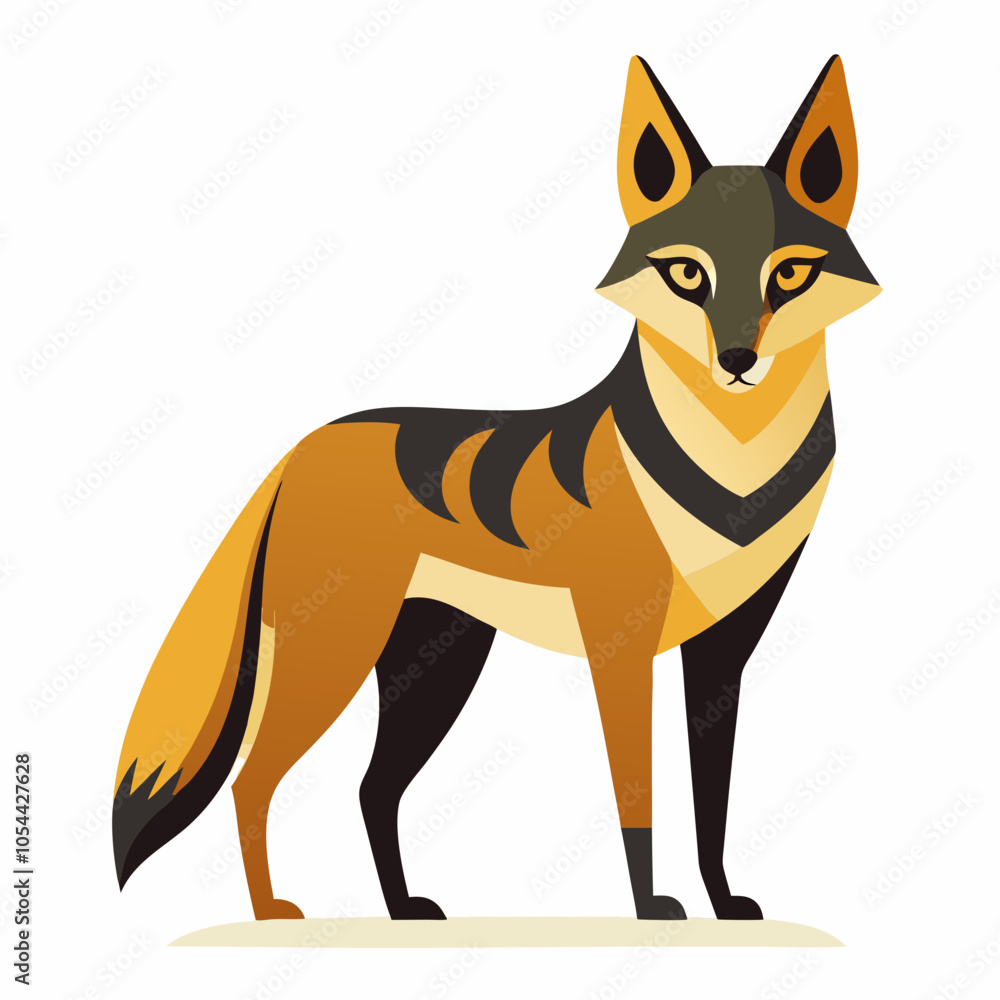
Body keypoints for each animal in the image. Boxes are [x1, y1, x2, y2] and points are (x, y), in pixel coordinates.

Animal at [113, 54, 880, 923]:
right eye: (689, 274)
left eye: (789, 273)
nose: (739, 360)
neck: (735, 469)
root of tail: (300, 449)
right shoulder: (621, 647)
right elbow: (639, 797)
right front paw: (652, 909)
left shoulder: (724, 652)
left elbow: (710, 803)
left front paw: (721, 903)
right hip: (340, 657)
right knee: (254, 780)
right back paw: (273, 914)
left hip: (436, 667)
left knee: (371, 790)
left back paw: (402, 911)